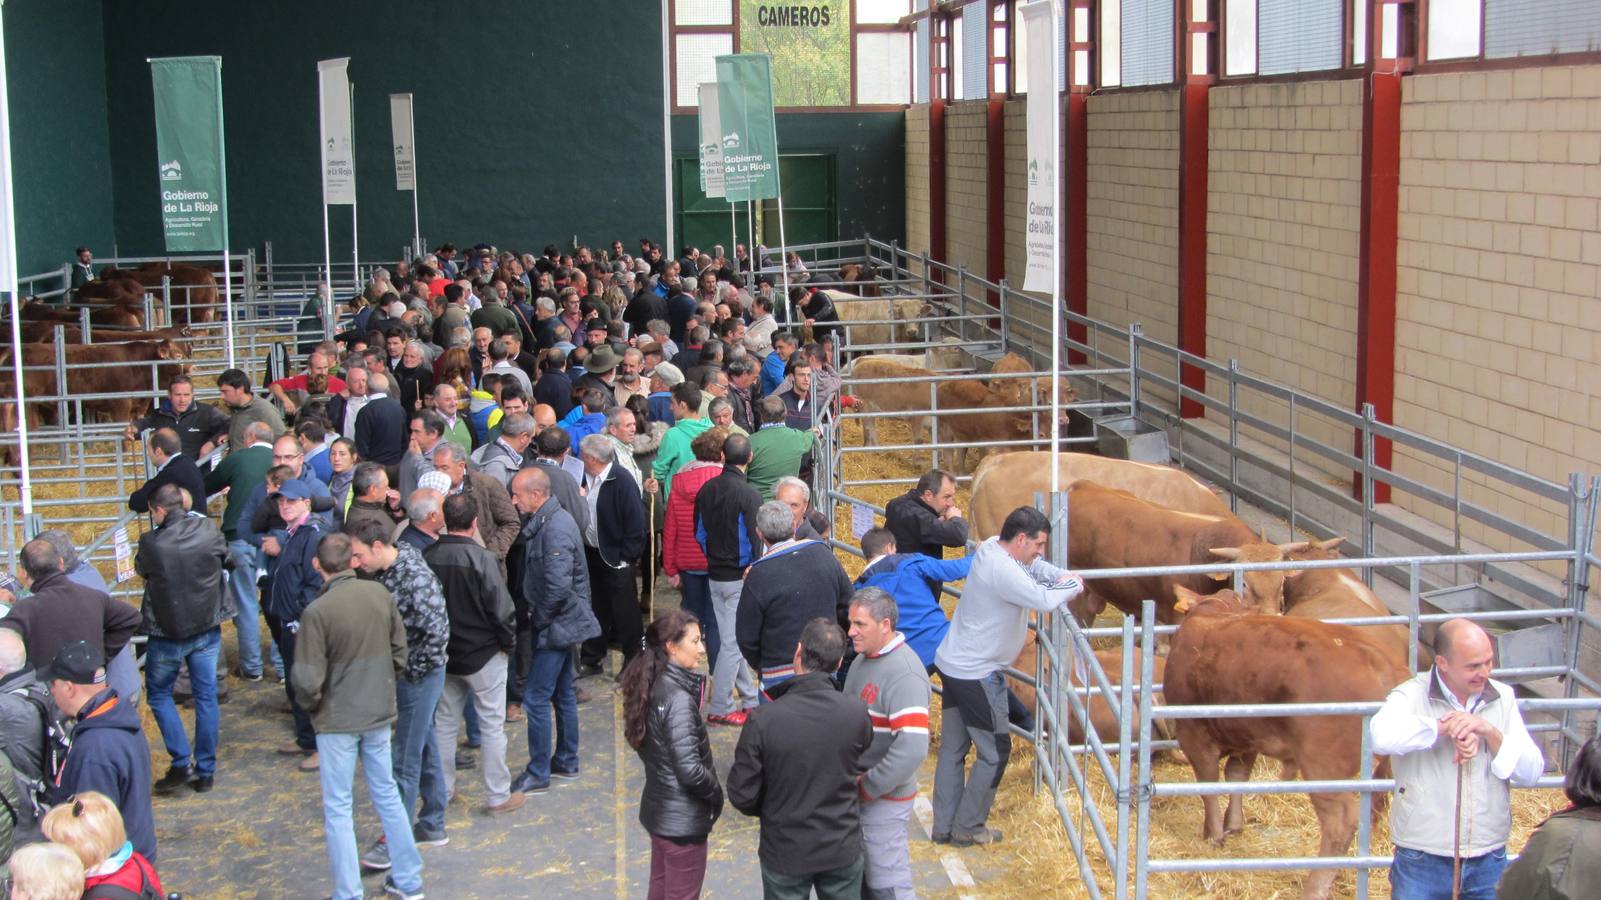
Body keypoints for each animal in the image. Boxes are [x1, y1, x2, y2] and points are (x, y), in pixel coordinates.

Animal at [1165, 586, 1402, 896]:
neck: (1216, 613)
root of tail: (1377, 657)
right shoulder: (1247, 737)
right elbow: (1236, 776)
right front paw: (1232, 825)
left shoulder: (1194, 734)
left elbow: (1209, 785)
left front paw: (1213, 836)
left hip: (1324, 765)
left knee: (1340, 822)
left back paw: (1316, 887)